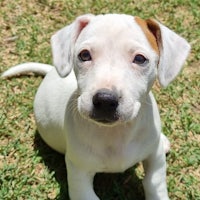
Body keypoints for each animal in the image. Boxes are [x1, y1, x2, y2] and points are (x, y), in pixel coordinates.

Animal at [3, 13, 191, 199]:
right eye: (84, 55)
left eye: (140, 59)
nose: (105, 100)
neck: (115, 133)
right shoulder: (79, 172)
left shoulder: (155, 155)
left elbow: (154, 182)